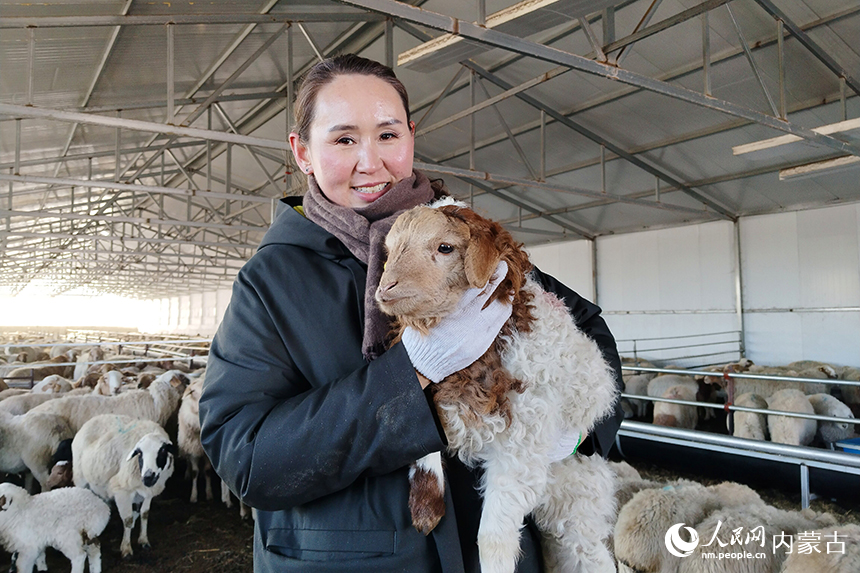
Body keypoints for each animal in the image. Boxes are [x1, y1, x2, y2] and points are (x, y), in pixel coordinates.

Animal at [72, 414, 176, 556]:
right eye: (140, 453)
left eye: (163, 450)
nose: (148, 477)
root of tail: (92, 420)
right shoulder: (122, 490)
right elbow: (127, 519)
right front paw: (126, 549)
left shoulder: (148, 492)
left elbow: (145, 514)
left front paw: (143, 540)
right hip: (80, 479)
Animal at [376, 200, 620, 572]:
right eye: (389, 251)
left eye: (445, 247)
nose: (385, 289)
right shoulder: (434, 393)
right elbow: (417, 435)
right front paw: (426, 511)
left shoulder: (523, 440)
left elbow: (494, 540)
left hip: (581, 501)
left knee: (591, 555)